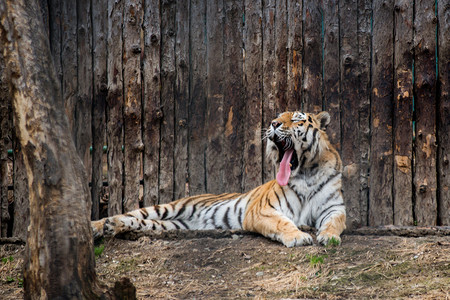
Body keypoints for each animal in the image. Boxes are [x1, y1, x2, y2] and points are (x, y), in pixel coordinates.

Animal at [90, 111, 344, 247]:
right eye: (278, 116)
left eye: (297, 119)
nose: (273, 124)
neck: (306, 172)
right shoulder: (263, 210)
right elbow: (284, 223)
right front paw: (299, 236)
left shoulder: (334, 208)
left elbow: (334, 222)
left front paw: (328, 237)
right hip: (164, 208)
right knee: (129, 214)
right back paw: (97, 226)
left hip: (168, 225)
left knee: (138, 222)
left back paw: (112, 227)